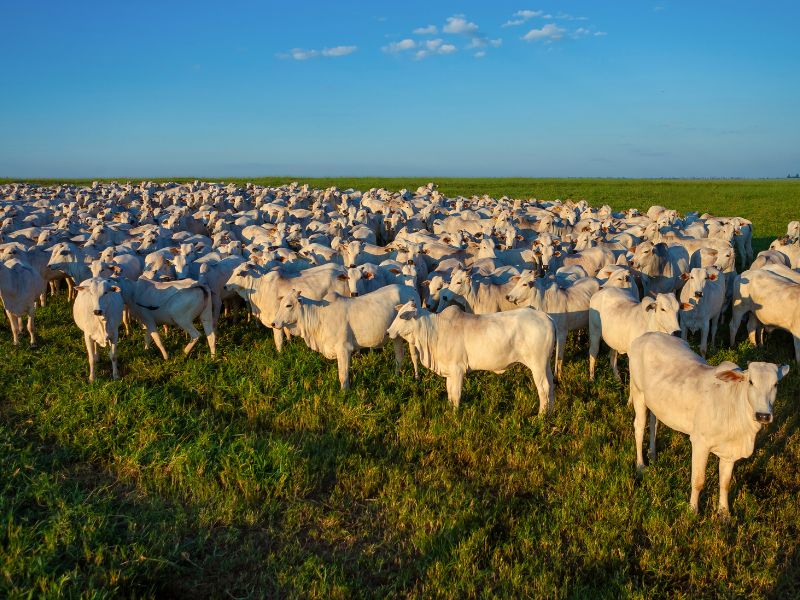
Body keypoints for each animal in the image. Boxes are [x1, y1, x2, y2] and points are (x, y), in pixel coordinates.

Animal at [268, 284, 418, 390]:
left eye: (288, 305)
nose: (273, 323)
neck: (319, 316)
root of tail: (412, 289)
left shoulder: (343, 349)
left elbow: (343, 376)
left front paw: (344, 393)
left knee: (414, 356)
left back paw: (416, 377)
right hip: (396, 337)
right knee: (399, 356)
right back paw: (396, 376)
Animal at [388, 302, 556, 414]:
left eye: (402, 317)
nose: (388, 331)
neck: (435, 330)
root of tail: (545, 316)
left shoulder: (457, 370)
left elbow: (456, 394)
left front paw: (455, 416)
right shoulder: (449, 372)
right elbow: (449, 393)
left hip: (537, 365)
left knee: (544, 388)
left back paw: (541, 416)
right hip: (545, 364)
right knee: (551, 386)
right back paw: (549, 413)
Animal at [628, 330, 792, 512]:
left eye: (776, 384)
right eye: (751, 382)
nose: (763, 415)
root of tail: (648, 335)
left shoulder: (729, 452)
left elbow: (725, 483)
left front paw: (724, 512)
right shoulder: (700, 443)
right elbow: (698, 481)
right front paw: (693, 510)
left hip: (654, 402)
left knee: (654, 424)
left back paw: (653, 455)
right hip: (638, 392)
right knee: (639, 427)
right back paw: (641, 465)